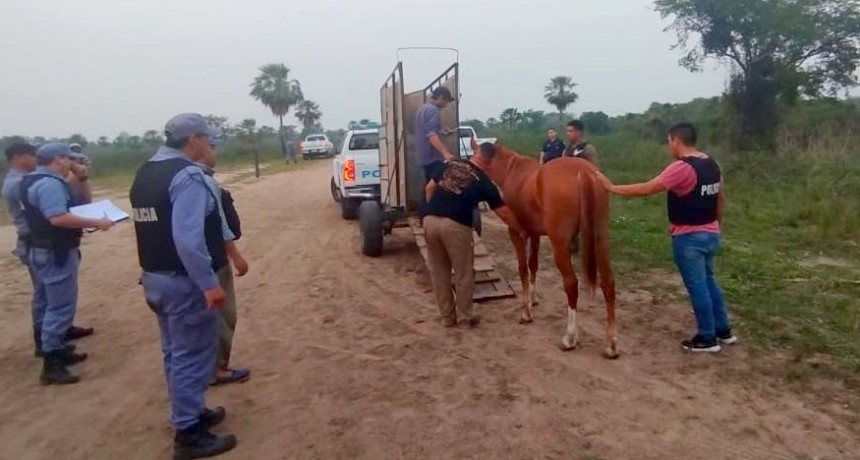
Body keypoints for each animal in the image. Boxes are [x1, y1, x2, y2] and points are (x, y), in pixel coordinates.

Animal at [470, 138, 620, 358]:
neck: (513, 172)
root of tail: (585, 172)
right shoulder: (535, 235)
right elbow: (533, 265)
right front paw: (533, 299)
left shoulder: (517, 233)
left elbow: (523, 269)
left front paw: (526, 312)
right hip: (601, 240)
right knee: (608, 283)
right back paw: (611, 345)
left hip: (560, 246)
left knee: (571, 284)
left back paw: (569, 338)